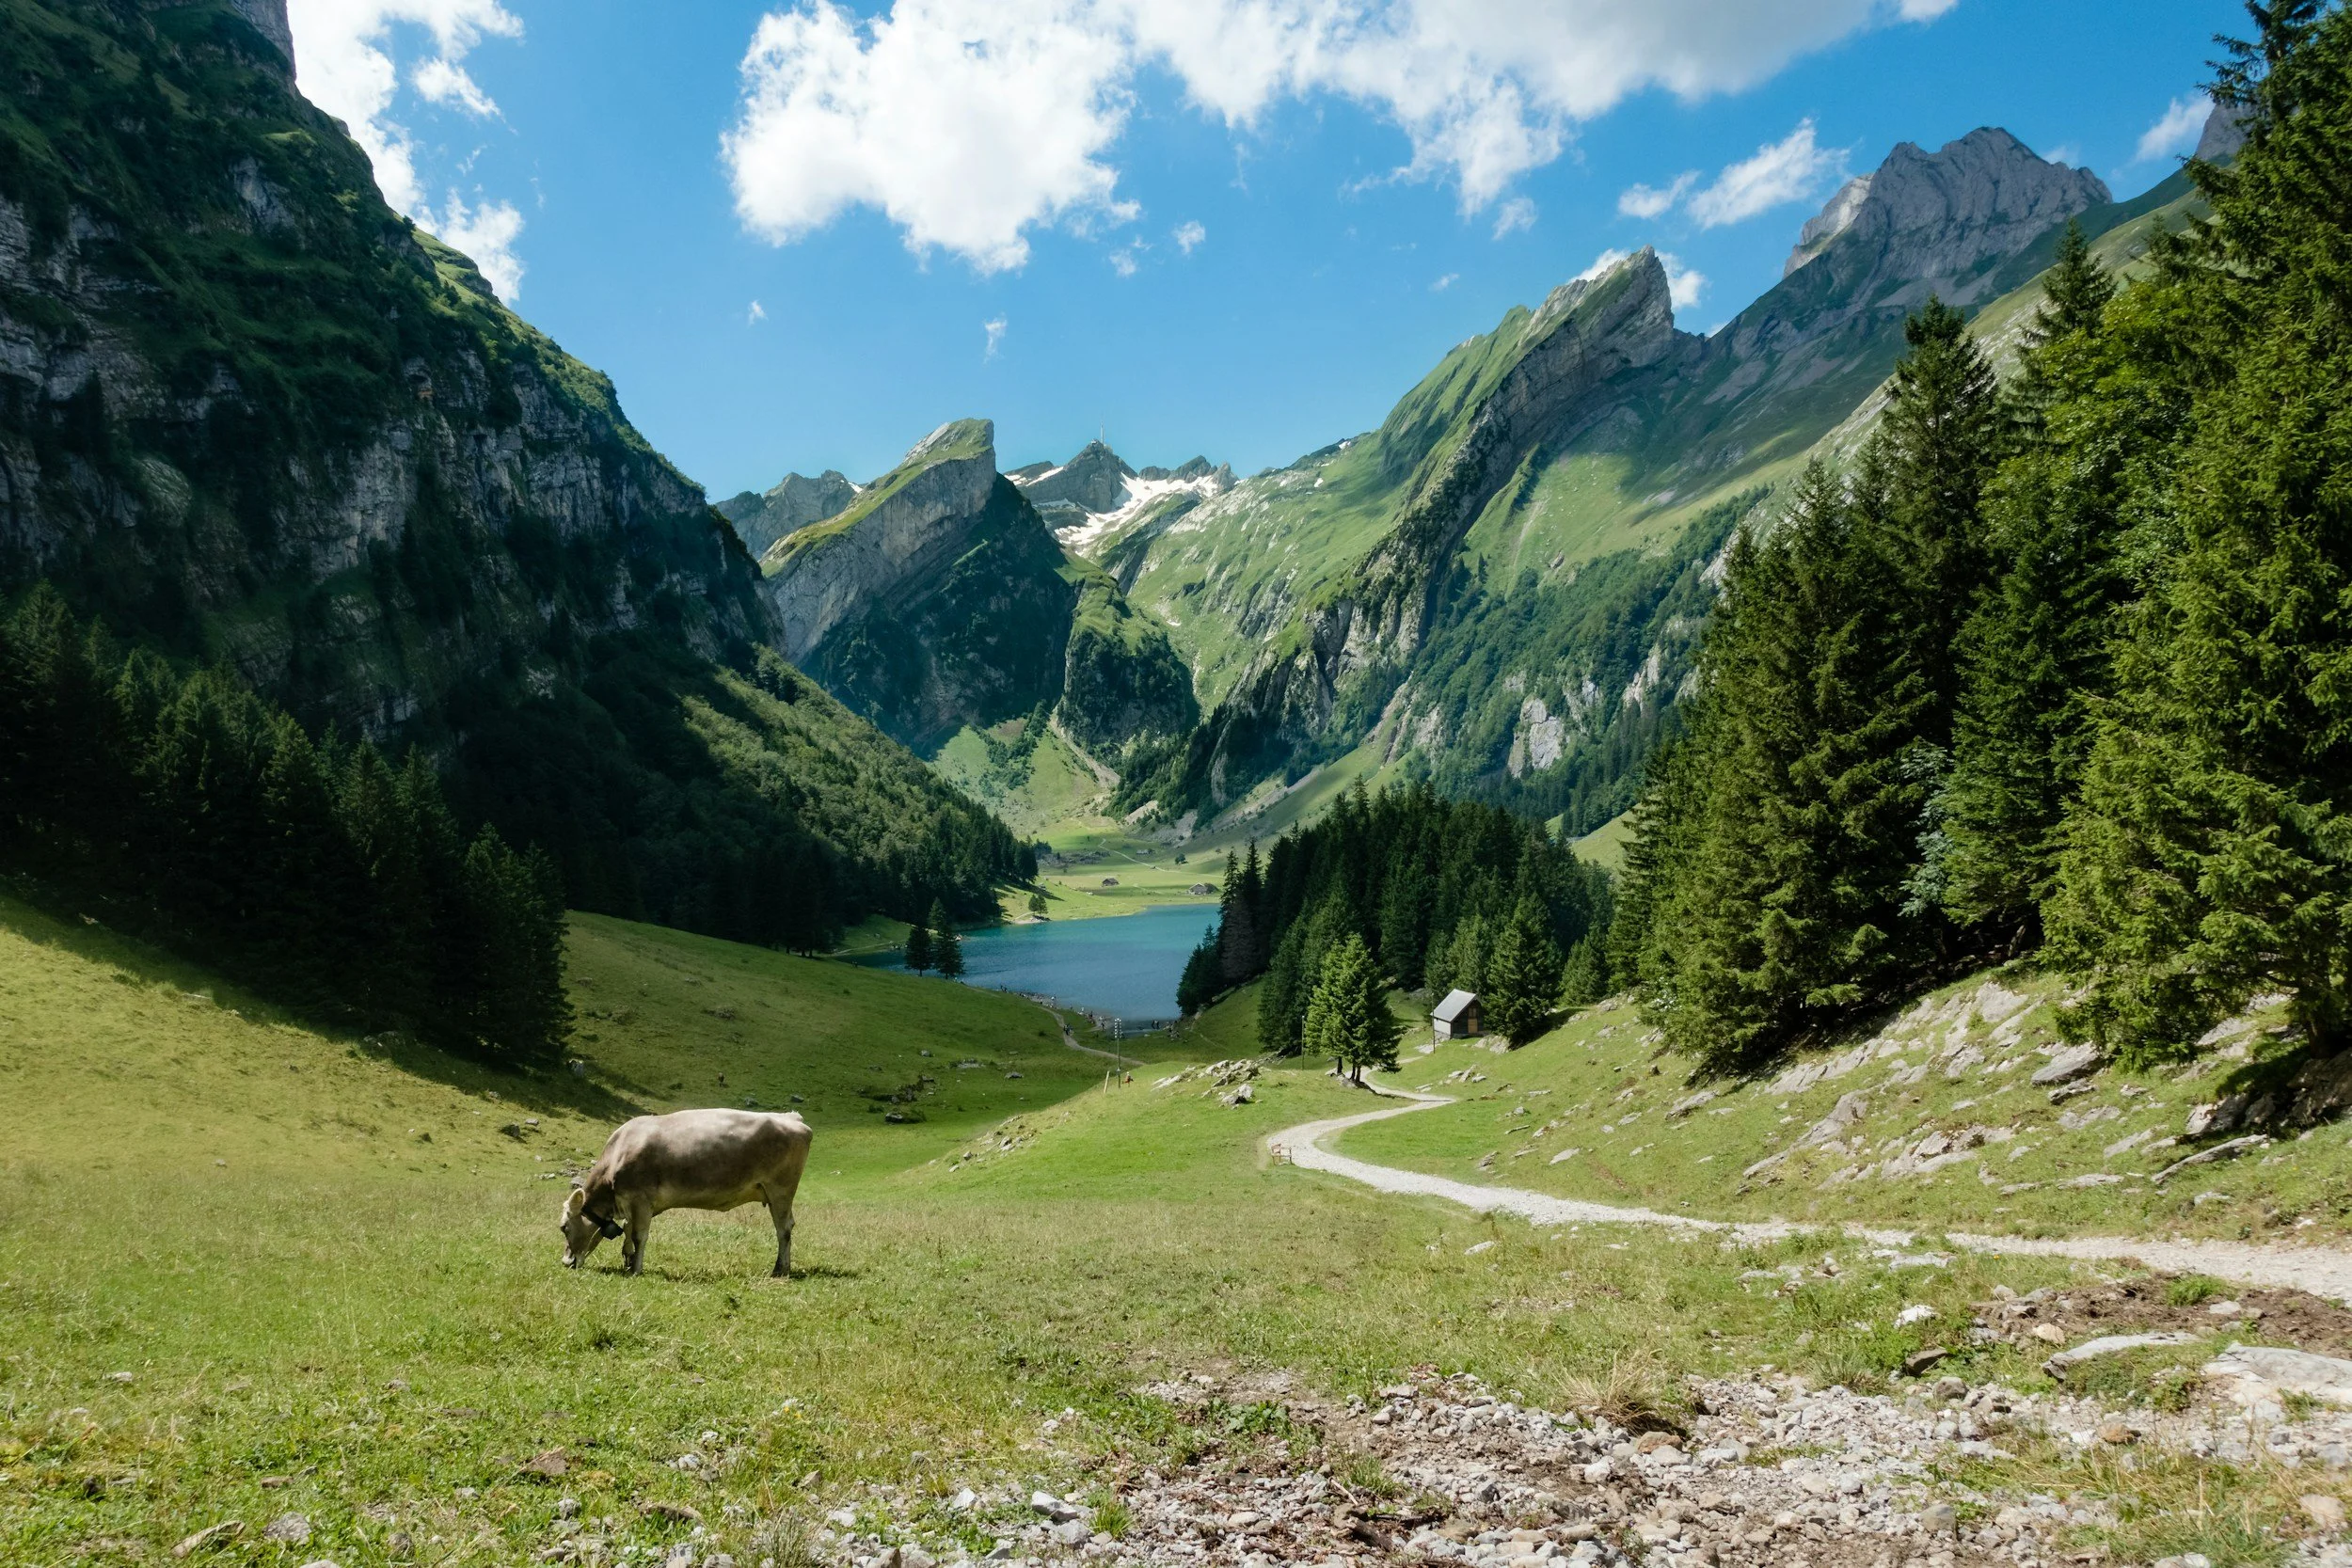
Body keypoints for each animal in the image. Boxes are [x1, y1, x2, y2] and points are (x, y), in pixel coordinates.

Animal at [559, 1109, 812, 1277]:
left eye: (564, 1227)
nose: (565, 1262)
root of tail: (791, 1117)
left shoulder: (641, 1200)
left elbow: (639, 1236)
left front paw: (636, 1269)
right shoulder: (630, 1203)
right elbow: (628, 1232)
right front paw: (628, 1260)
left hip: (780, 1190)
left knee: (784, 1228)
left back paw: (780, 1269)